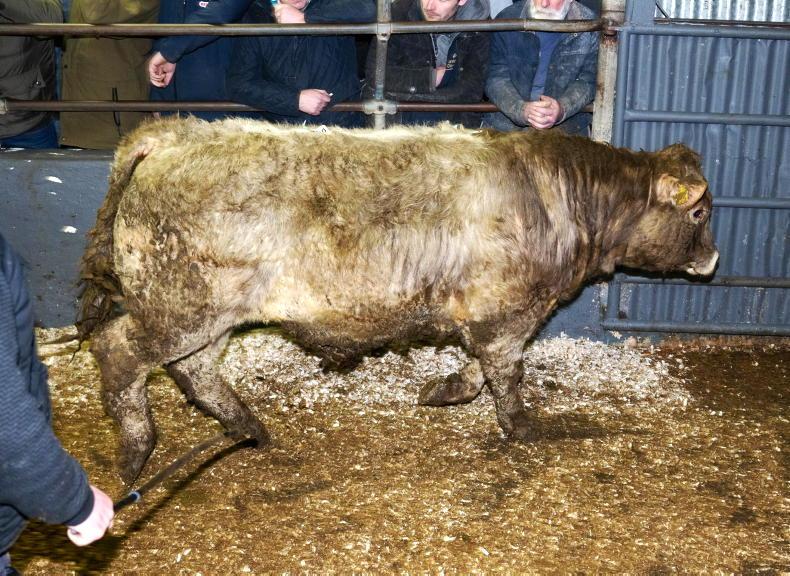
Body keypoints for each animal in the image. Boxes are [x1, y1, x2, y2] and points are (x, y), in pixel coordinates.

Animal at [78, 117, 718, 484]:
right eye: (699, 212)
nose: (712, 260)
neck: (553, 196)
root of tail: (176, 132)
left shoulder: (491, 315)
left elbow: (483, 369)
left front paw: (446, 388)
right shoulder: (507, 312)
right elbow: (505, 374)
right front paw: (520, 426)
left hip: (207, 314)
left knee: (197, 370)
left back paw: (250, 427)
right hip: (181, 306)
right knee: (120, 352)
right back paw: (137, 449)